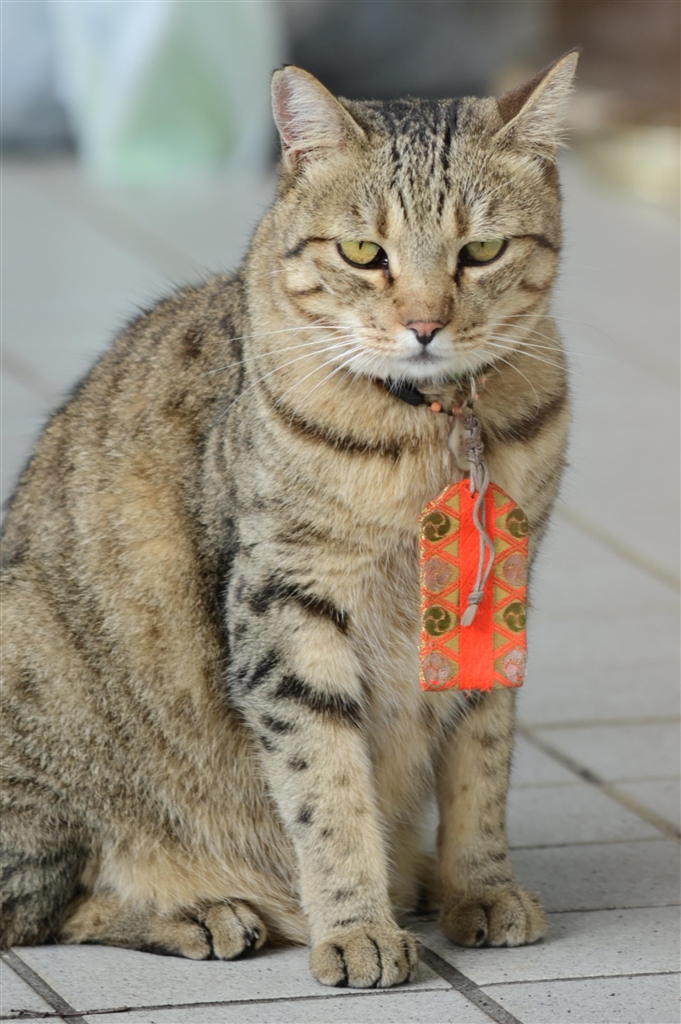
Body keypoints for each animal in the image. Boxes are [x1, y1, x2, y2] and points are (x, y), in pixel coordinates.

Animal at [1, 52, 576, 989]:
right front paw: (355, 925)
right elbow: (325, 785)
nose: (424, 325)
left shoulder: (500, 598)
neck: (433, 431)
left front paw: (479, 886)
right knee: (46, 909)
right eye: (363, 253)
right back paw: (203, 909)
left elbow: (481, 767)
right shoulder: (286, 603)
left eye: (481, 251)